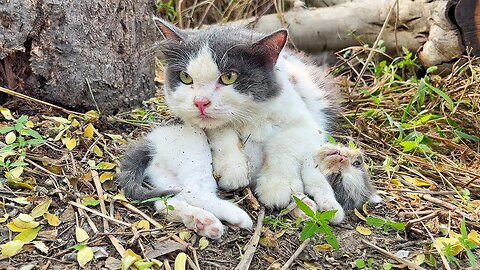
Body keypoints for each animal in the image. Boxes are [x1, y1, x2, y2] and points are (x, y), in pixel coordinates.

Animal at [116, 124, 253, 238]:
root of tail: (152, 141)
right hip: (196, 157)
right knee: (196, 193)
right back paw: (235, 216)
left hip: (166, 179)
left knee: (165, 202)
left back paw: (201, 222)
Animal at [154, 17, 344, 224]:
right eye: (185, 77)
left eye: (229, 77)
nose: (200, 102)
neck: (250, 117)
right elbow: (221, 130)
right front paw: (233, 169)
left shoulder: (308, 126)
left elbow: (283, 143)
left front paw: (276, 186)